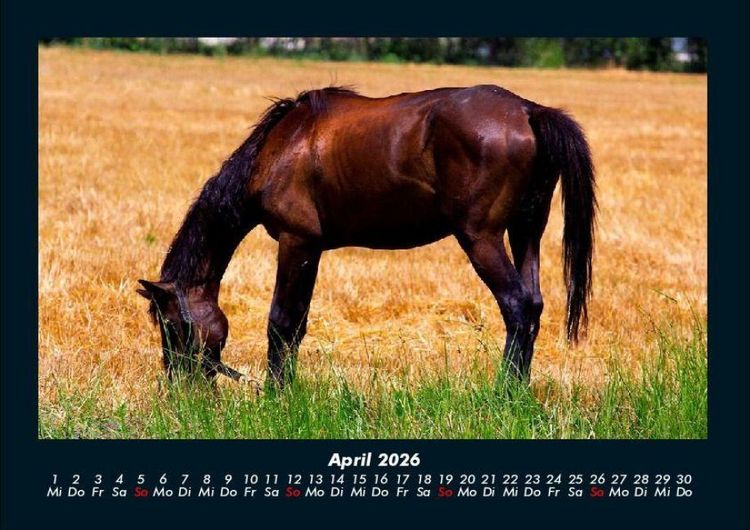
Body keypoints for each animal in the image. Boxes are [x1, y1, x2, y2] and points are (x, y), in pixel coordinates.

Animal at [137, 84, 596, 388]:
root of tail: (529, 111)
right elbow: (297, 324)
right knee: (533, 304)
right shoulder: (313, 249)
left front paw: (276, 395)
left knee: (517, 306)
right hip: (526, 232)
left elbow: (281, 323)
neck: (281, 147)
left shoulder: (295, 242)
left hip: (481, 238)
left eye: (173, 326)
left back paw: (504, 392)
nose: (181, 388)